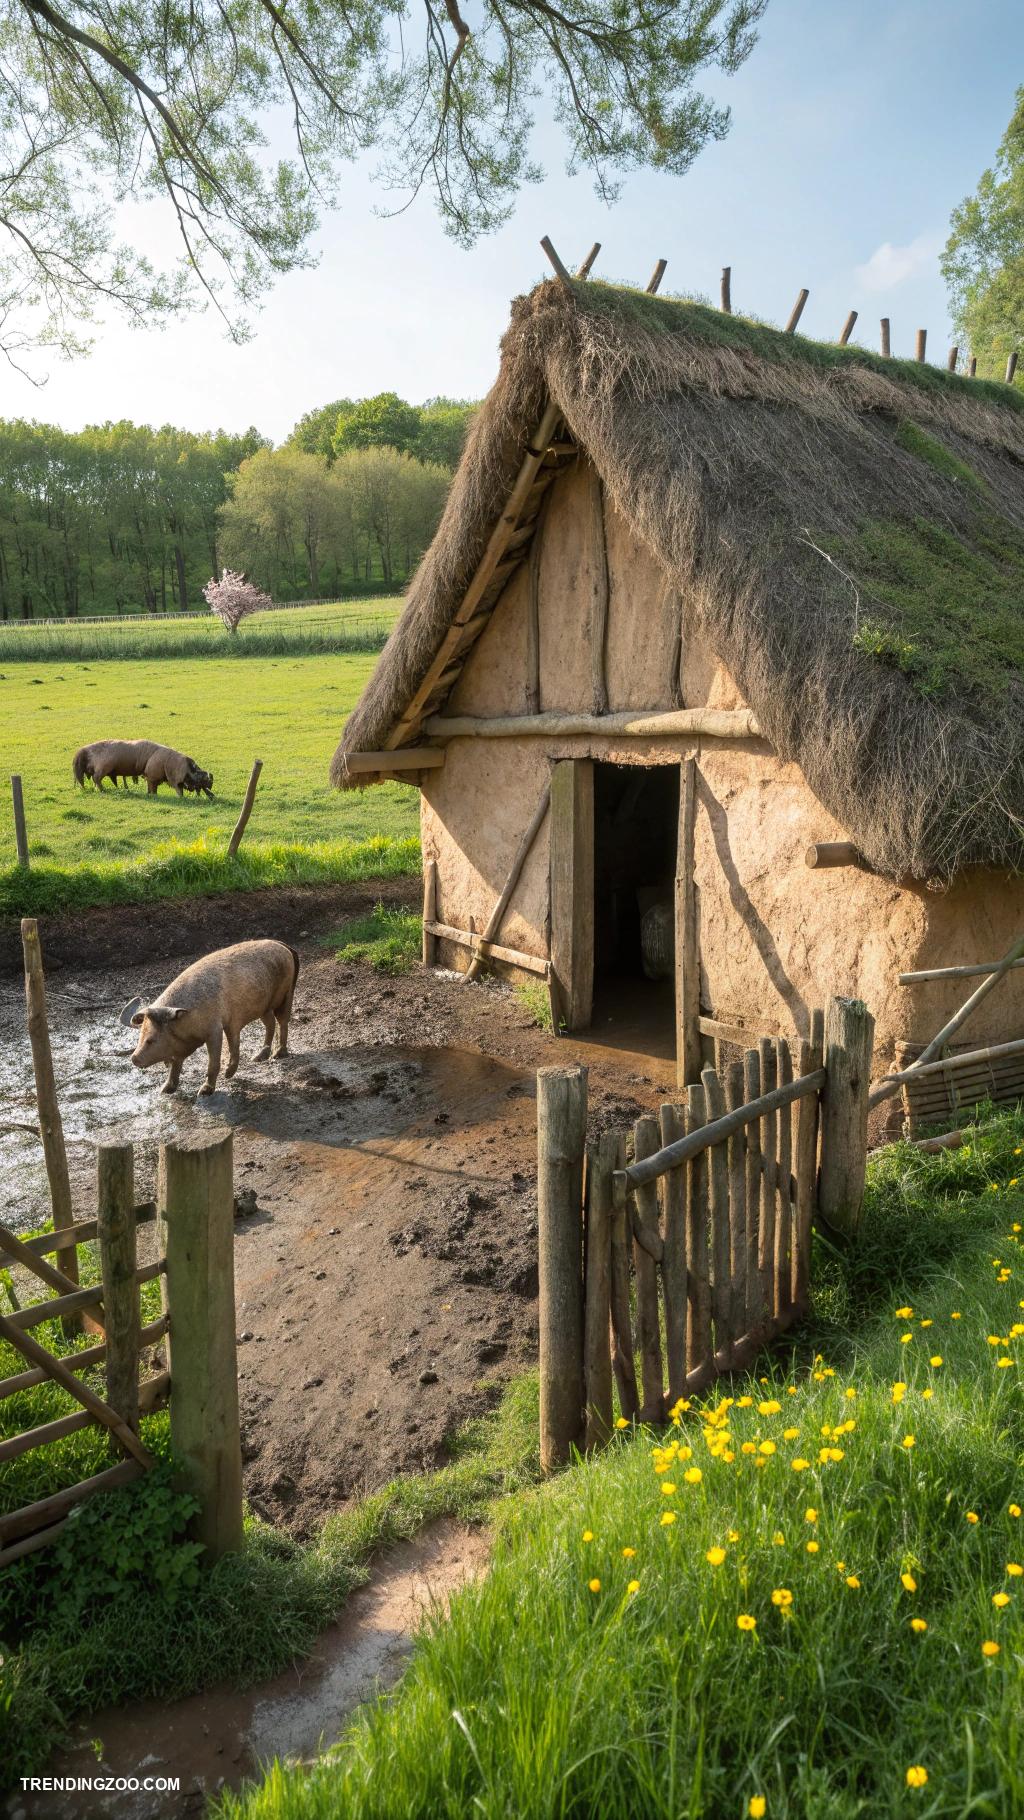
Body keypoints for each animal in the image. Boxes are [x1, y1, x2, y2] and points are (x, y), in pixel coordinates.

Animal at [124, 940, 299, 1096]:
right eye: (141, 1037)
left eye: (151, 1039)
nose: (133, 1058)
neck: (185, 1023)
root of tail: (284, 945)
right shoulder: (182, 1046)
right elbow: (176, 1066)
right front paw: (164, 1091)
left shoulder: (216, 1029)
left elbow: (217, 1059)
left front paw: (206, 1090)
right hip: (264, 1007)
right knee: (270, 1023)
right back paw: (257, 1058)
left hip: (286, 994)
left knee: (283, 1021)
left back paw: (278, 1054)